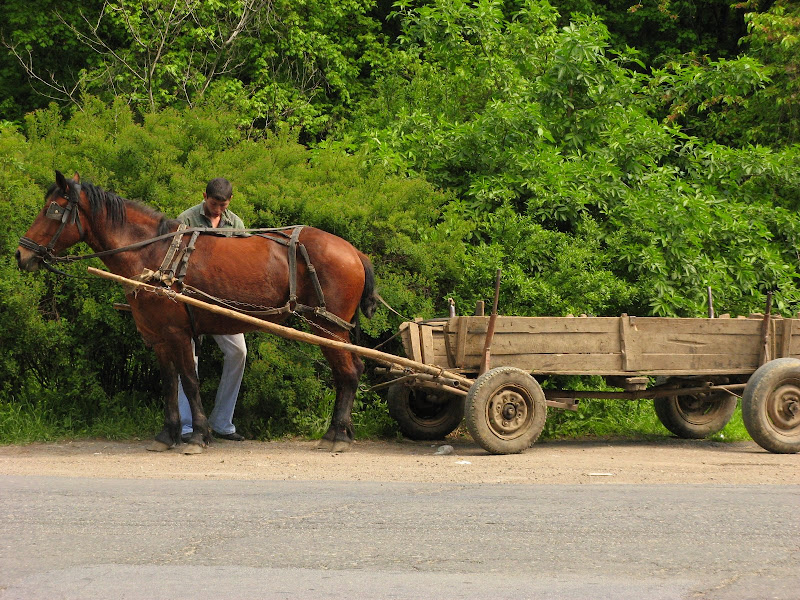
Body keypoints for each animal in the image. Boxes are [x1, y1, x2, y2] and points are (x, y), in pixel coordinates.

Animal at [15, 171, 378, 452]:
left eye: (52, 210)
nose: (21, 254)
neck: (155, 254)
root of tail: (354, 252)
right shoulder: (160, 337)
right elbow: (169, 383)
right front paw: (169, 434)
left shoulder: (177, 333)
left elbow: (189, 381)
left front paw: (198, 436)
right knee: (351, 371)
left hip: (327, 326)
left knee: (348, 373)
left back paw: (336, 435)